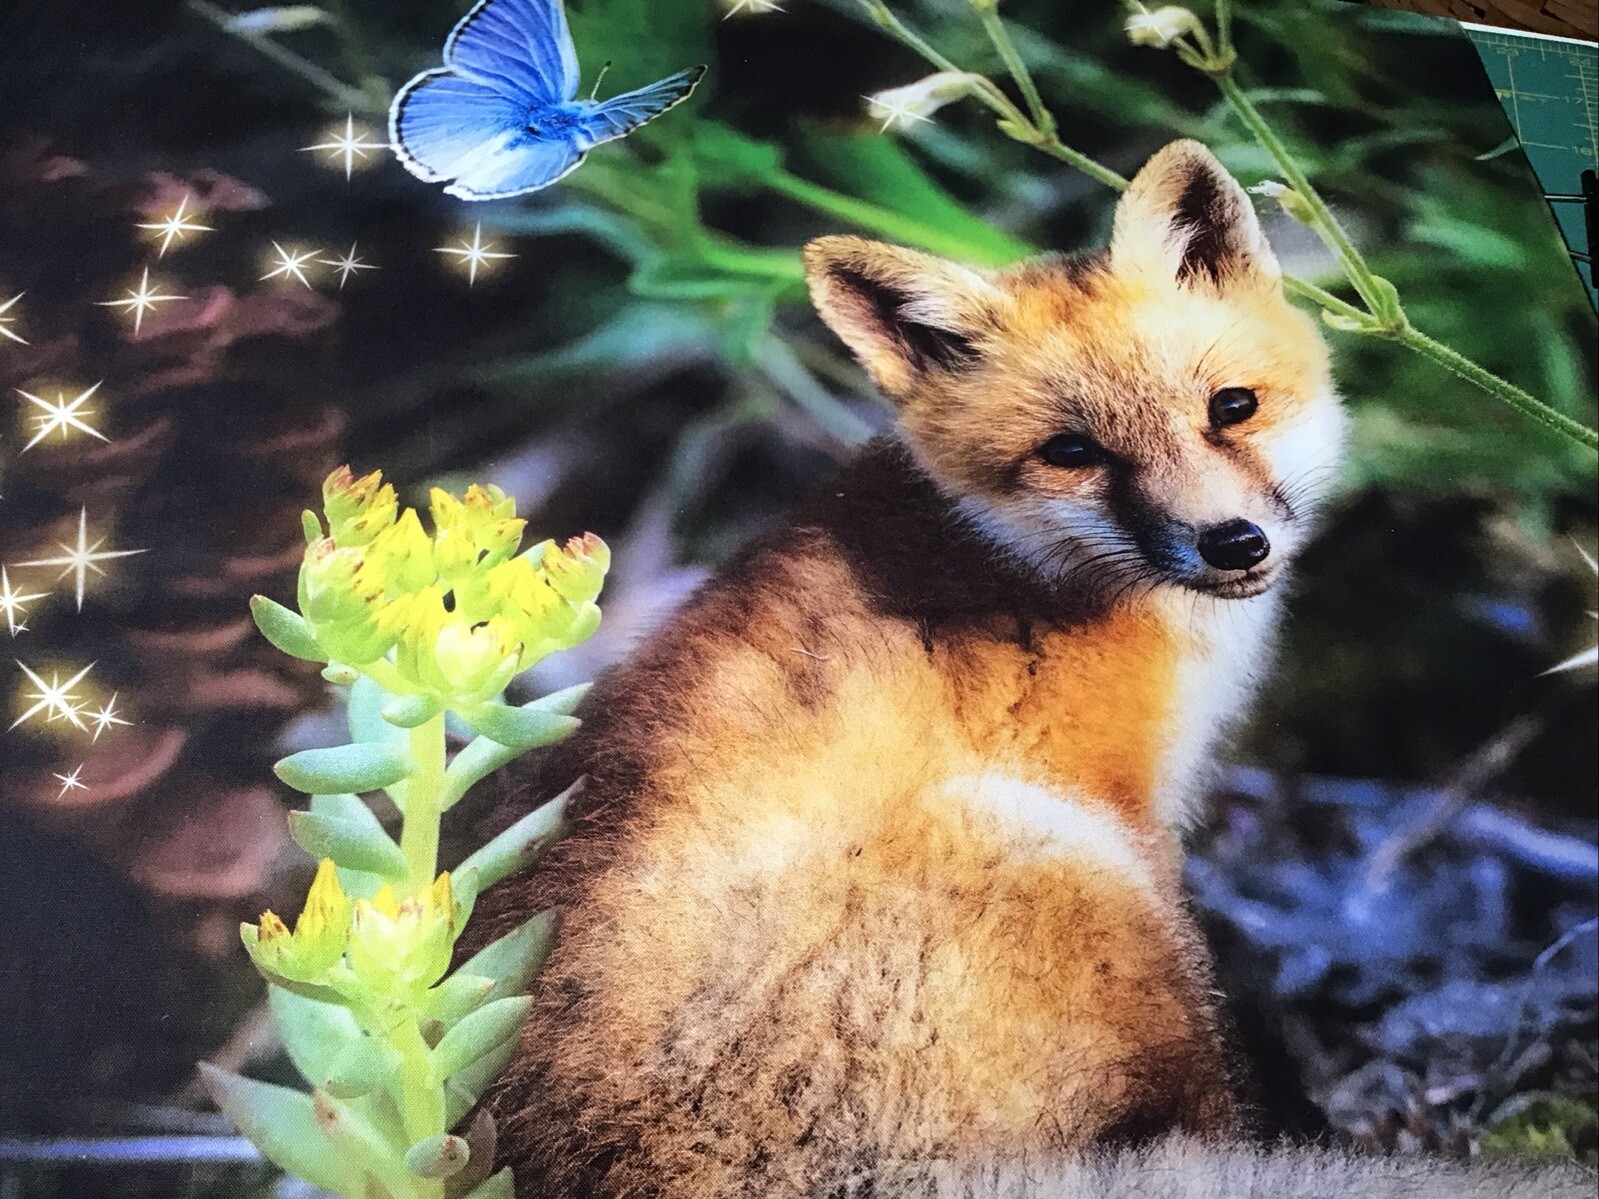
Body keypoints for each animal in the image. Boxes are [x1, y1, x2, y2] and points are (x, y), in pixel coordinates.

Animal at [473, 140, 1593, 1198]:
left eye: (1231, 407)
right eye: (1072, 453)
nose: (1231, 542)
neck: (1016, 560)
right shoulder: (1130, 818)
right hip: (1058, 854)